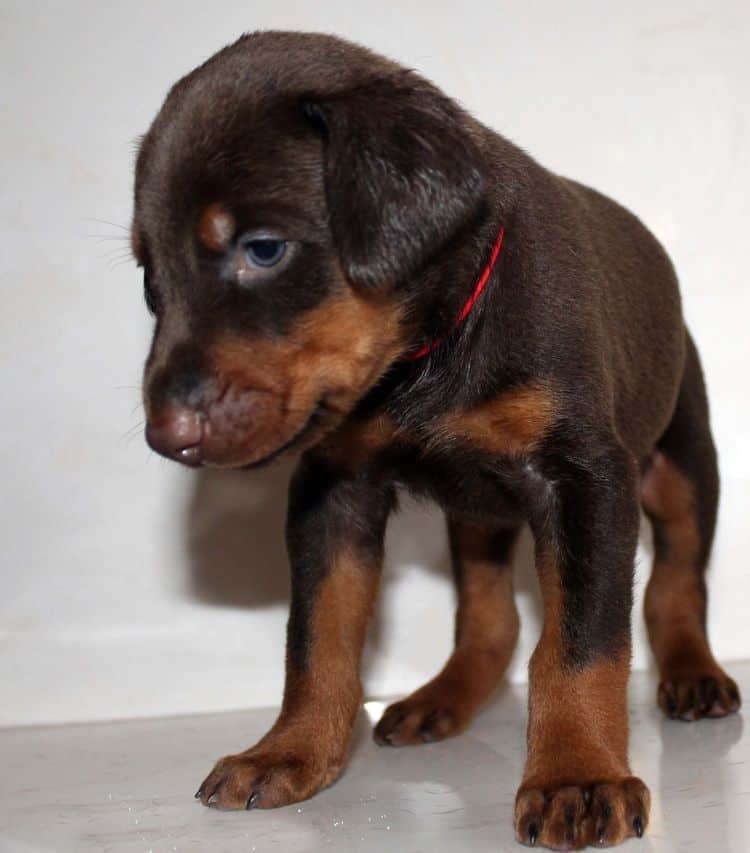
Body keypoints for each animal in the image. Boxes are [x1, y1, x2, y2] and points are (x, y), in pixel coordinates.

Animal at [132, 30, 744, 848]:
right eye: (149, 278)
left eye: (263, 249)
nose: (165, 437)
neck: (428, 354)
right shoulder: (334, 488)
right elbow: (317, 635)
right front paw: (291, 752)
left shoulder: (586, 480)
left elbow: (580, 643)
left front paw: (577, 775)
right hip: (478, 511)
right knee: (492, 616)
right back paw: (440, 698)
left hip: (680, 457)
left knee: (677, 577)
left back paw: (692, 673)